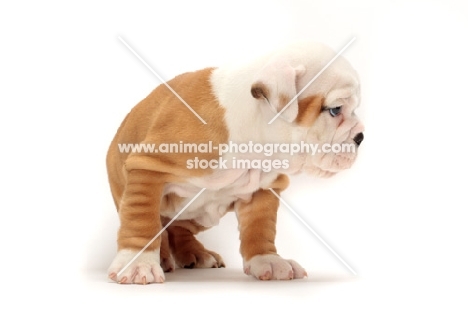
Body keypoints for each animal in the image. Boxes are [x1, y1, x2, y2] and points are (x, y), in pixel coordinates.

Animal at [107, 41, 366, 286]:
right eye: (335, 110)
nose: (361, 137)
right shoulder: (149, 167)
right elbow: (142, 221)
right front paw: (138, 264)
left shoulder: (264, 187)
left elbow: (260, 227)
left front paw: (269, 260)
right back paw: (162, 258)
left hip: (199, 216)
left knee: (178, 228)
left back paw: (196, 254)